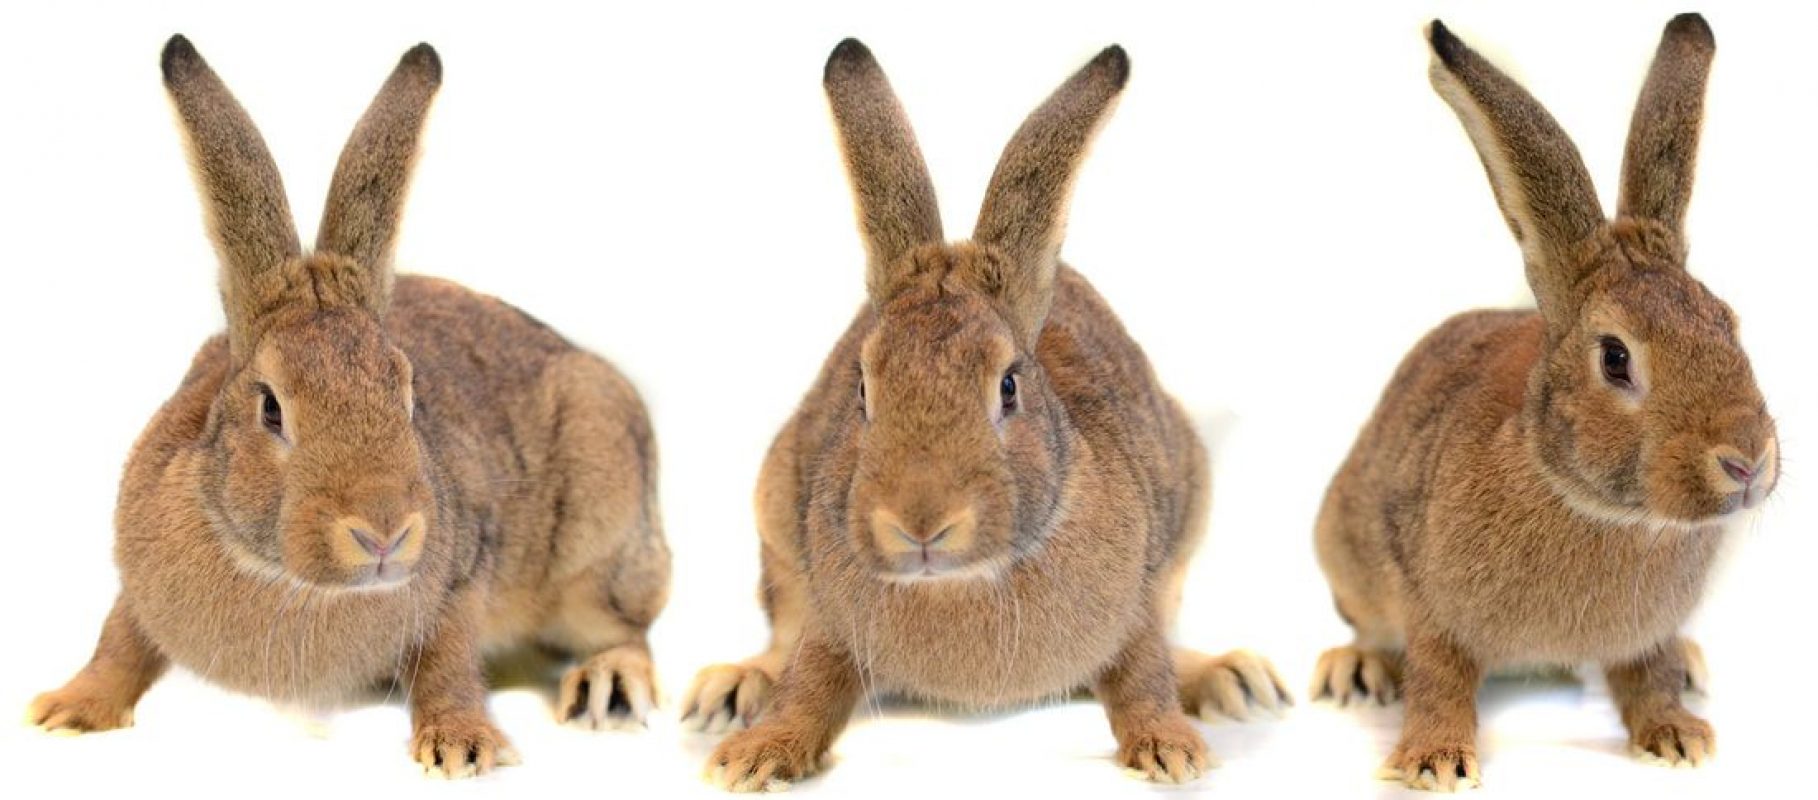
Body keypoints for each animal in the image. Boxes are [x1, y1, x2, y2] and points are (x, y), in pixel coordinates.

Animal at [25, 35, 671, 778]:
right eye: (272, 409)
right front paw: (67, 711)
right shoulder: (137, 586)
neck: (289, 580)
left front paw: (461, 745)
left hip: (597, 544)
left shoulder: (460, 581)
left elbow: (449, 662)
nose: (385, 532)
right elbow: (119, 637)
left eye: (409, 394)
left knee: (627, 629)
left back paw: (607, 685)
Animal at [683, 39, 1288, 792]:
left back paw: (1236, 679)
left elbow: (1144, 674)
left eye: (1007, 387)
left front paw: (1171, 751)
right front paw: (751, 758)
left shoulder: (1136, 606)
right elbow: (809, 682)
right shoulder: (829, 619)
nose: (919, 524)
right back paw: (730, 689)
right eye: (862, 389)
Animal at [1310, 14, 1778, 792]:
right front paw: (1436, 761)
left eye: (1728, 323)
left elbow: (1648, 675)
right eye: (1616, 358)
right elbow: (1438, 677)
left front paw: (1677, 737)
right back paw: (1356, 669)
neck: (1594, 506)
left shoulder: (1643, 635)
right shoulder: (1432, 607)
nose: (1747, 461)